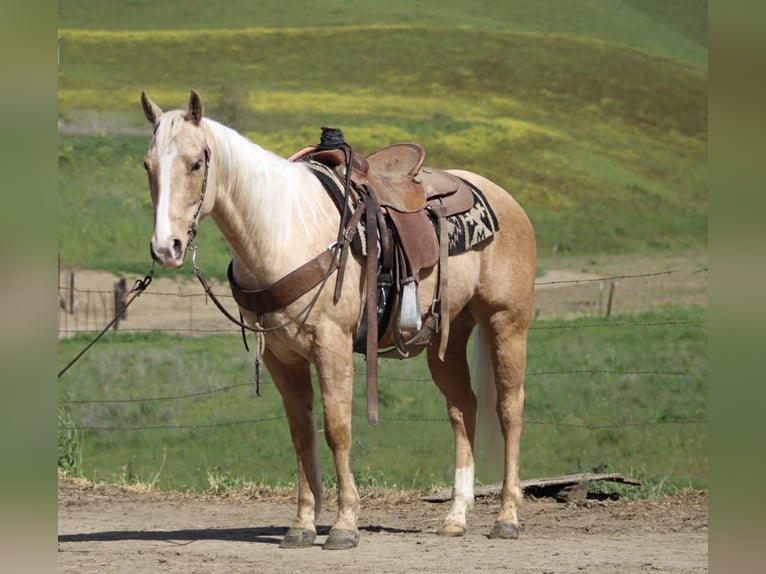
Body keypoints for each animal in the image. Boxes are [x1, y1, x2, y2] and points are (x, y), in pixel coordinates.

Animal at [139, 90, 536, 550]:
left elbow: (337, 428)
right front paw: (302, 525)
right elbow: (301, 432)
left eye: (196, 164)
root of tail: (504, 199)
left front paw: (345, 524)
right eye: (148, 165)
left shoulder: (332, 346)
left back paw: (507, 517)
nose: (166, 247)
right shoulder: (281, 357)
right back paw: (455, 517)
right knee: (462, 409)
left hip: (507, 323)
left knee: (509, 408)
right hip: (447, 336)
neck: (283, 232)